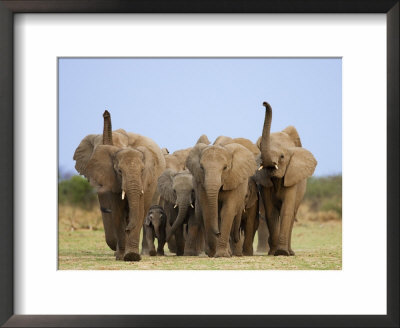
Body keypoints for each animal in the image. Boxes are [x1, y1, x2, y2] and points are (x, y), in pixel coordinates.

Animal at [72, 110, 165, 262]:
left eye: (142, 171)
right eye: (119, 171)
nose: (105, 113)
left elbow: (138, 211)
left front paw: (132, 256)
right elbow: (117, 213)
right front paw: (122, 255)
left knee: (145, 211)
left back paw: (145, 252)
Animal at [255, 102, 318, 256]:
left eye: (282, 156)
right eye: (260, 152)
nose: (264, 103)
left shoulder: (292, 177)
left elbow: (287, 210)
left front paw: (282, 252)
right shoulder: (265, 183)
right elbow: (271, 212)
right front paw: (274, 253)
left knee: (292, 213)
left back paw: (290, 252)